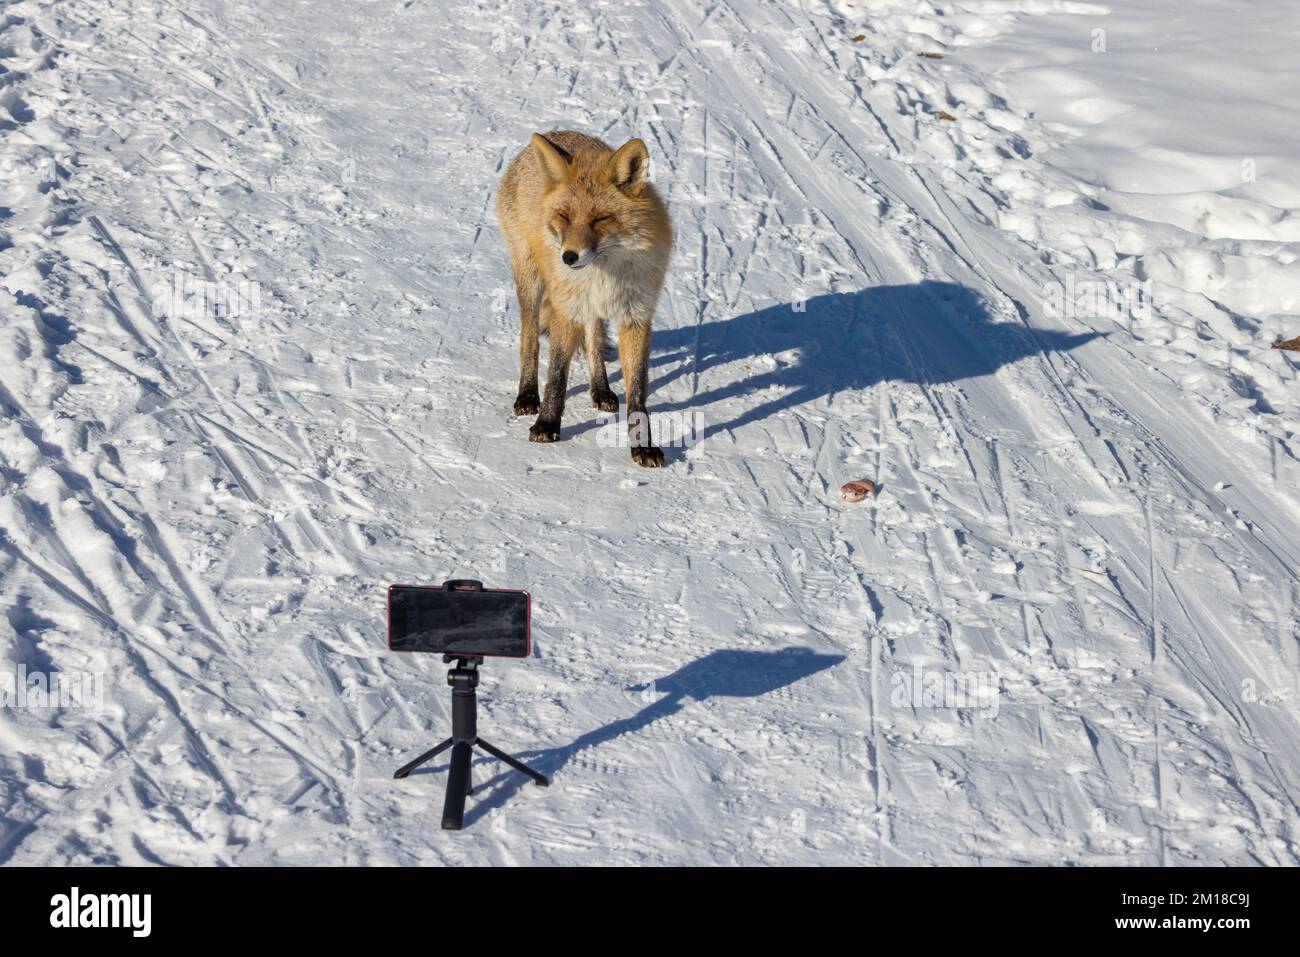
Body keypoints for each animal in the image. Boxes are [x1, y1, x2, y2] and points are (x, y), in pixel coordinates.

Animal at [496, 130, 676, 468]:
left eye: (601, 219)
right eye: (565, 217)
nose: (568, 257)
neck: (604, 274)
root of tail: (554, 133)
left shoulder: (635, 315)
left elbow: (638, 390)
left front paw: (642, 445)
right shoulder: (566, 310)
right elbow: (556, 376)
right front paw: (546, 424)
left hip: (588, 306)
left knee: (593, 337)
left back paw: (600, 389)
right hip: (531, 280)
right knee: (530, 337)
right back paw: (527, 395)